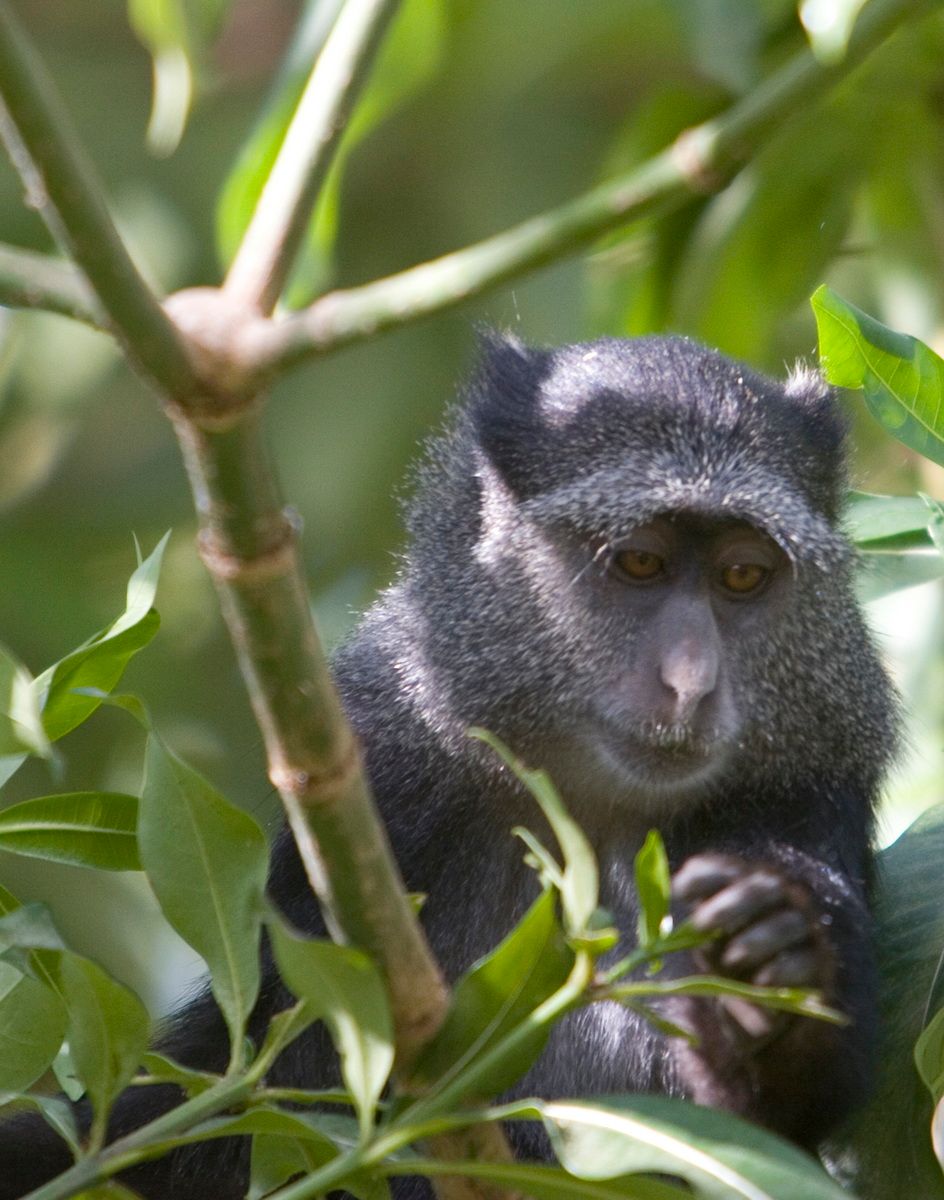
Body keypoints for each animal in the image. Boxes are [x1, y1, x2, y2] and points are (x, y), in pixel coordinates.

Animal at [0, 333, 898, 1198]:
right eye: (640, 563)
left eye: (742, 575)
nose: (691, 683)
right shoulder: (388, 758)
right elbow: (259, 1073)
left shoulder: (806, 789)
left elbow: (779, 1117)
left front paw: (762, 979)